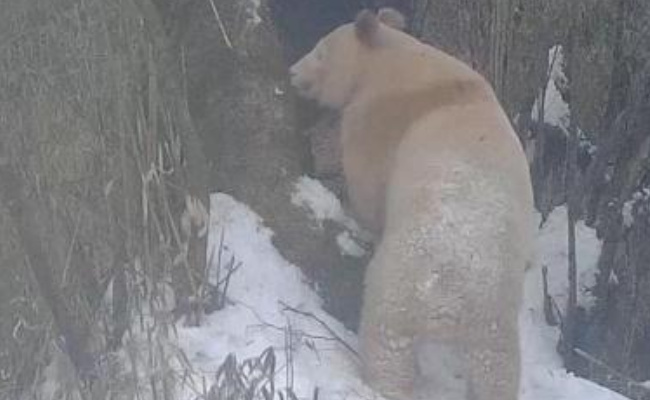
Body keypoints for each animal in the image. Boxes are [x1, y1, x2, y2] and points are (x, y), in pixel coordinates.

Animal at [290, 8, 534, 400]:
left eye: (320, 51)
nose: (293, 73)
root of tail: (450, 305)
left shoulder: (382, 113)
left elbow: (368, 185)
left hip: (401, 281)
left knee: (387, 343)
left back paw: (383, 383)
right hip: (494, 316)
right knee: (496, 370)